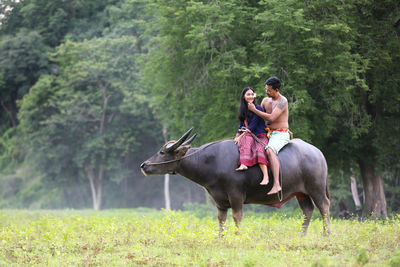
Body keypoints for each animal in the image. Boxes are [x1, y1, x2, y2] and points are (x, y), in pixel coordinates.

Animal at [141, 127, 332, 234]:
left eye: (162, 152)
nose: (144, 165)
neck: (211, 161)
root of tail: (318, 153)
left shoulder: (236, 194)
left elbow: (237, 217)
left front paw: (237, 236)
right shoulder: (219, 199)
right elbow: (221, 219)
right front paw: (220, 238)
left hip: (316, 188)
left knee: (324, 207)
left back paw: (326, 234)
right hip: (300, 192)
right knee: (308, 210)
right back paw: (302, 235)